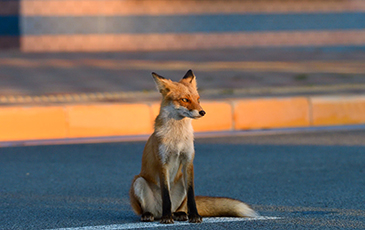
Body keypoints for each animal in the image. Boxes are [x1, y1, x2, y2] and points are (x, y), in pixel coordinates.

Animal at [129, 69, 258, 223]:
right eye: (185, 99)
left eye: (198, 99)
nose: (203, 112)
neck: (177, 138)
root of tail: (158, 211)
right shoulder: (163, 162)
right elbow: (166, 195)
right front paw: (167, 218)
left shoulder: (188, 161)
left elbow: (192, 196)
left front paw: (195, 215)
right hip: (138, 181)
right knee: (152, 209)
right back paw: (153, 214)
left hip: (180, 183)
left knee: (179, 208)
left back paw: (179, 214)